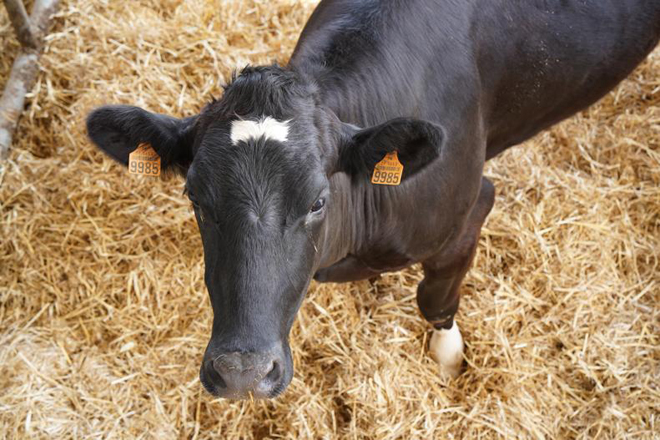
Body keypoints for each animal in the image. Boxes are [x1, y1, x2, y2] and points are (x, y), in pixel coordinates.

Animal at [86, 0, 660, 400]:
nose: (243, 374)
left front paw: (448, 361)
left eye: (318, 201)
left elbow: (434, 298)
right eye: (196, 199)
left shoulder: (470, 207)